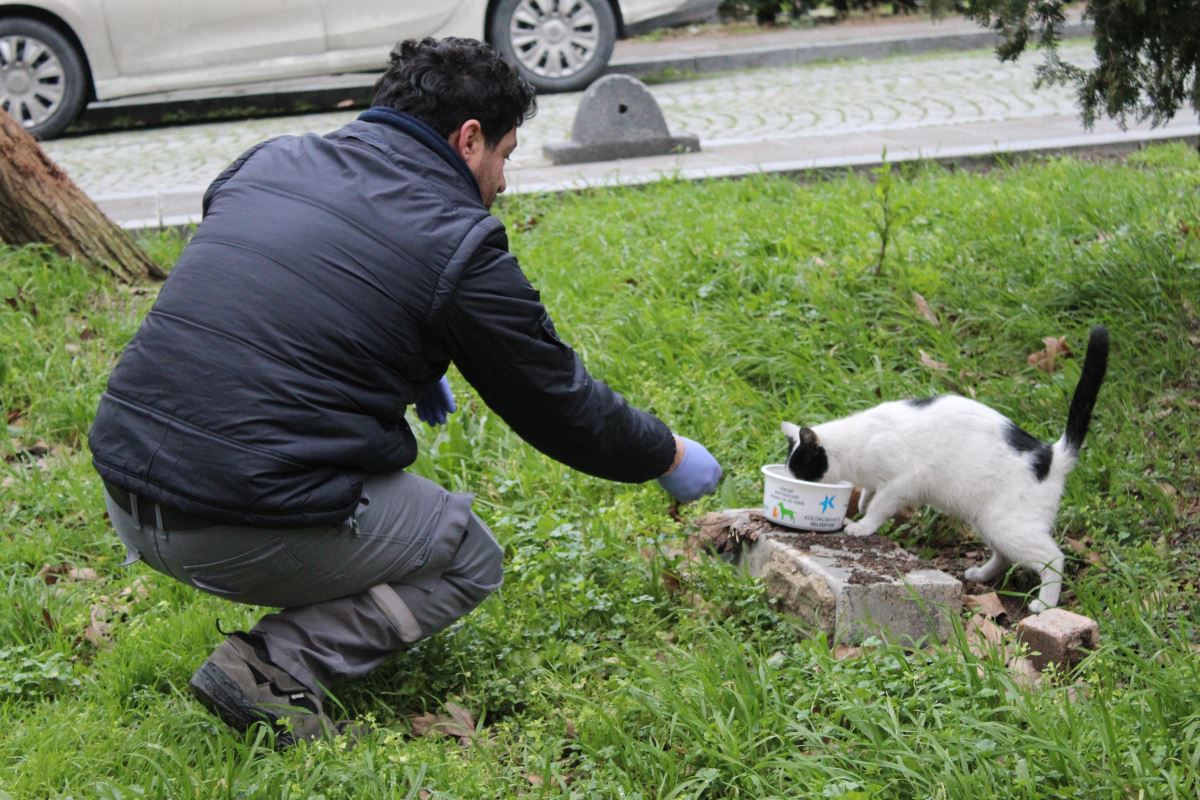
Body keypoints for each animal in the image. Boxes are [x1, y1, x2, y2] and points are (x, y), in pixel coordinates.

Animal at [782, 326, 1108, 614]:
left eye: (800, 470)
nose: (791, 480)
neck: (854, 445)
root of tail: (1051, 455)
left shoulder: (902, 482)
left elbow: (880, 506)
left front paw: (862, 526)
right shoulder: (879, 480)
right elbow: (869, 494)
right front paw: (861, 504)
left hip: (1009, 525)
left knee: (1053, 557)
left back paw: (1045, 603)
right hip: (988, 521)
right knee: (1004, 555)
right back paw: (980, 575)